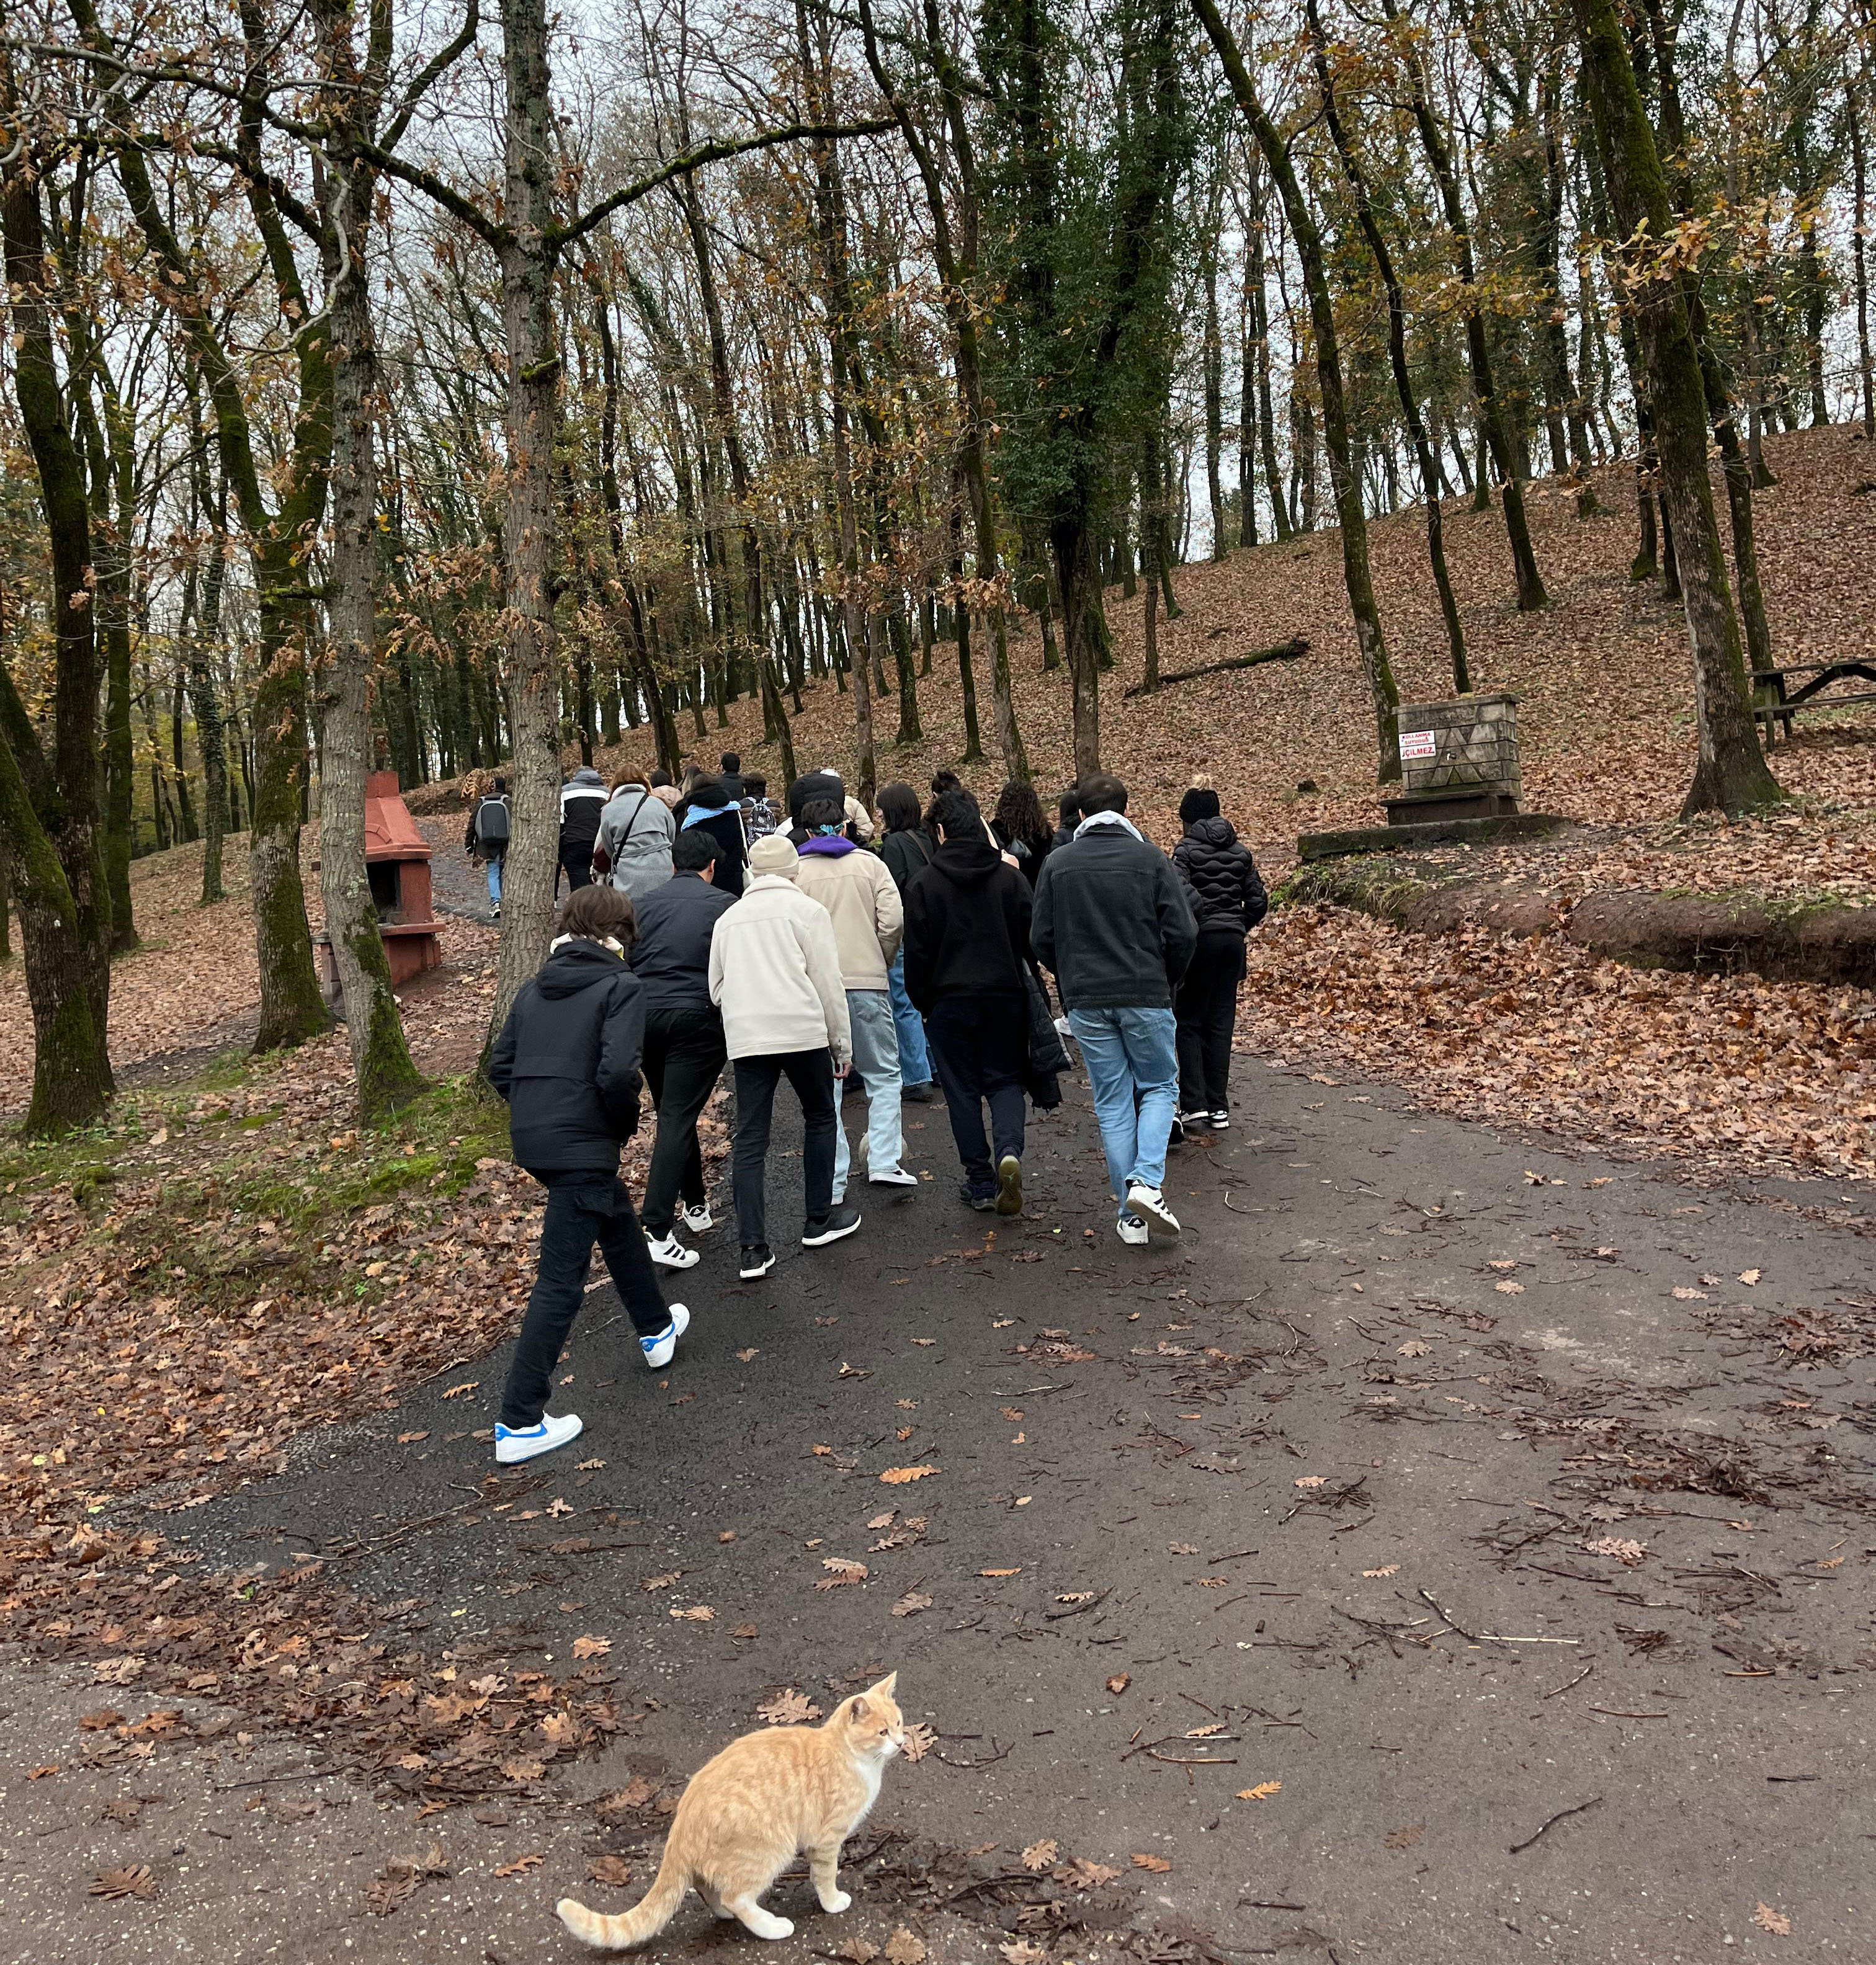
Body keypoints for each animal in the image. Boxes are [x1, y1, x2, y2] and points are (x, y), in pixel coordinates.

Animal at [558, 1674, 911, 1949]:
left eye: (899, 1724)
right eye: (882, 1732)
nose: (900, 1743)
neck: (851, 1756)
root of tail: (680, 1825)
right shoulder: (827, 1839)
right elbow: (825, 1876)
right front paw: (833, 1902)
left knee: (707, 1886)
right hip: (770, 1850)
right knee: (736, 1897)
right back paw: (772, 1927)